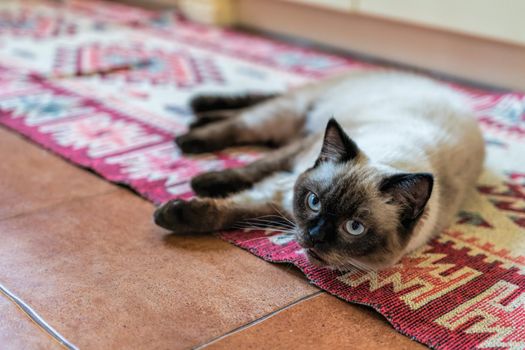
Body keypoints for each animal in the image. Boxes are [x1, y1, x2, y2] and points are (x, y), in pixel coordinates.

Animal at [152, 69, 484, 270]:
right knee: (245, 117)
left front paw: (179, 213)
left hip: (286, 123)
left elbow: (233, 212)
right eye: (314, 202)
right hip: (285, 115)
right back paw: (192, 127)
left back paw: (196, 118)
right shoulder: (291, 164)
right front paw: (197, 188)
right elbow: (251, 172)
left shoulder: (279, 200)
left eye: (354, 228)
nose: (314, 235)